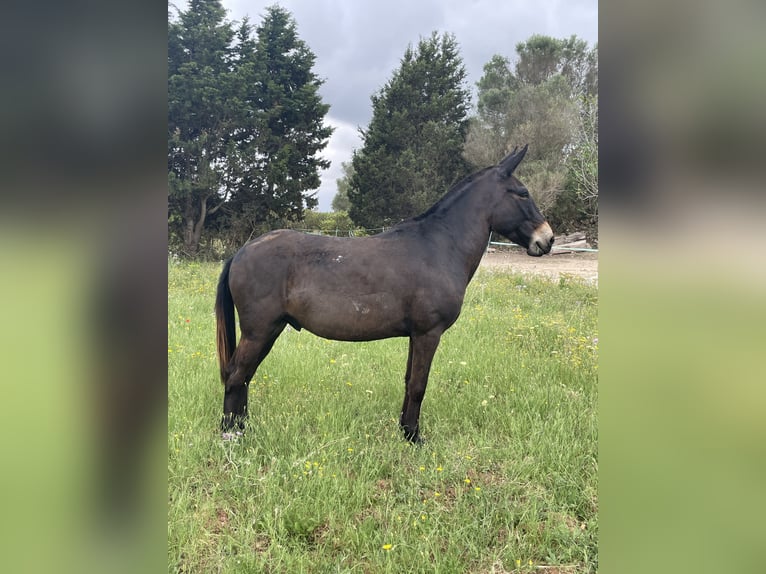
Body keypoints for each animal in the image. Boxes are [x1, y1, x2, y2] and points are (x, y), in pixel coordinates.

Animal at [215, 145, 554, 443]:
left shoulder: (416, 335)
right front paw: (415, 438)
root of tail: (242, 251)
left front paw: (404, 431)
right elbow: (418, 385)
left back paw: (243, 427)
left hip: (269, 331)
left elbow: (408, 382)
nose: (547, 239)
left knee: (245, 375)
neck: (439, 246)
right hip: (259, 331)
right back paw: (231, 433)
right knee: (236, 374)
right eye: (523, 193)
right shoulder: (429, 333)